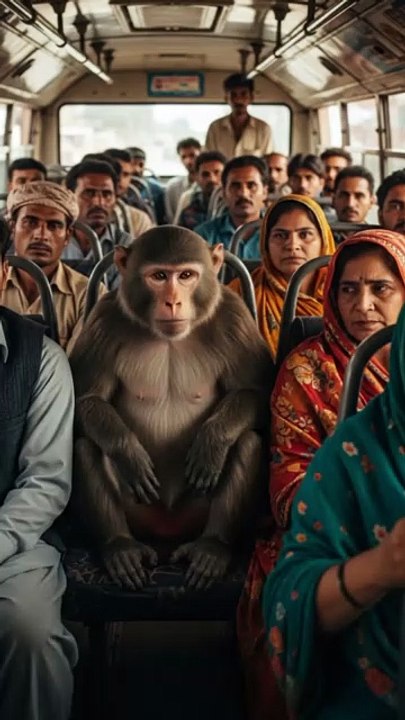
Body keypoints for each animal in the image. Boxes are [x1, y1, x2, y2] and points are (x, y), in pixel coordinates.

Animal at [69, 226, 272, 591]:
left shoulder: (234, 316)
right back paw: (120, 546)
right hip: (138, 512)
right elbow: (86, 399)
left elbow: (256, 392)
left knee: (248, 441)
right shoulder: (103, 320)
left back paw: (212, 547)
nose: (173, 301)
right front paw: (129, 454)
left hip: (196, 512)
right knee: (86, 446)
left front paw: (212, 442)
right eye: (159, 276)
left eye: (186, 275)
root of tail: (168, 532)